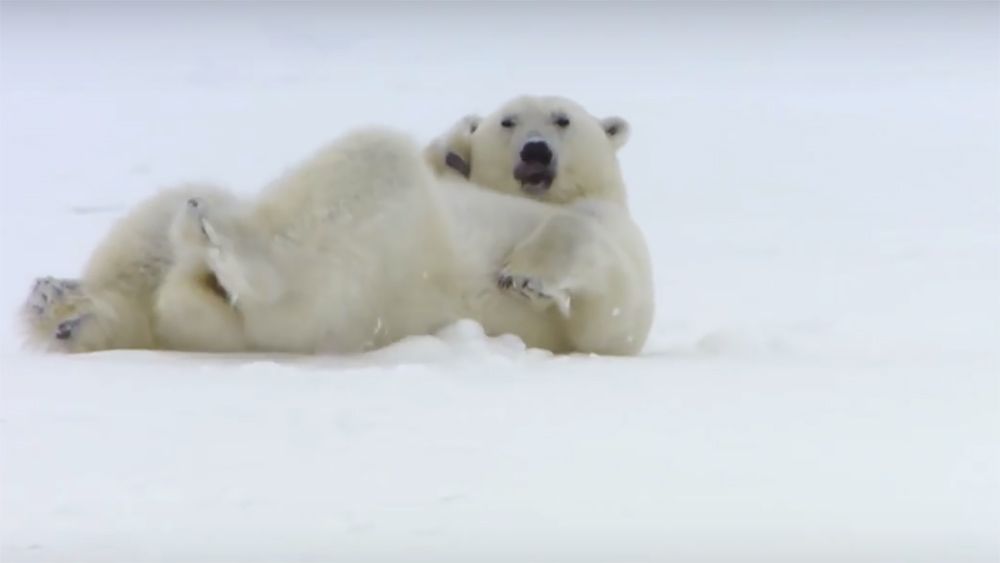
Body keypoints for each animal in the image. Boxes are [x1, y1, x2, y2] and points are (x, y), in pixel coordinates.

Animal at [23, 96, 654, 356]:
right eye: (508, 120)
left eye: (562, 119)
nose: (535, 151)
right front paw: (451, 150)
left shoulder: (615, 229)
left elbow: (613, 312)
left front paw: (524, 276)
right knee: (164, 224)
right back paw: (61, 304)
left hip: (367, 284)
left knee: (368, 158)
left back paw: (223, 247)